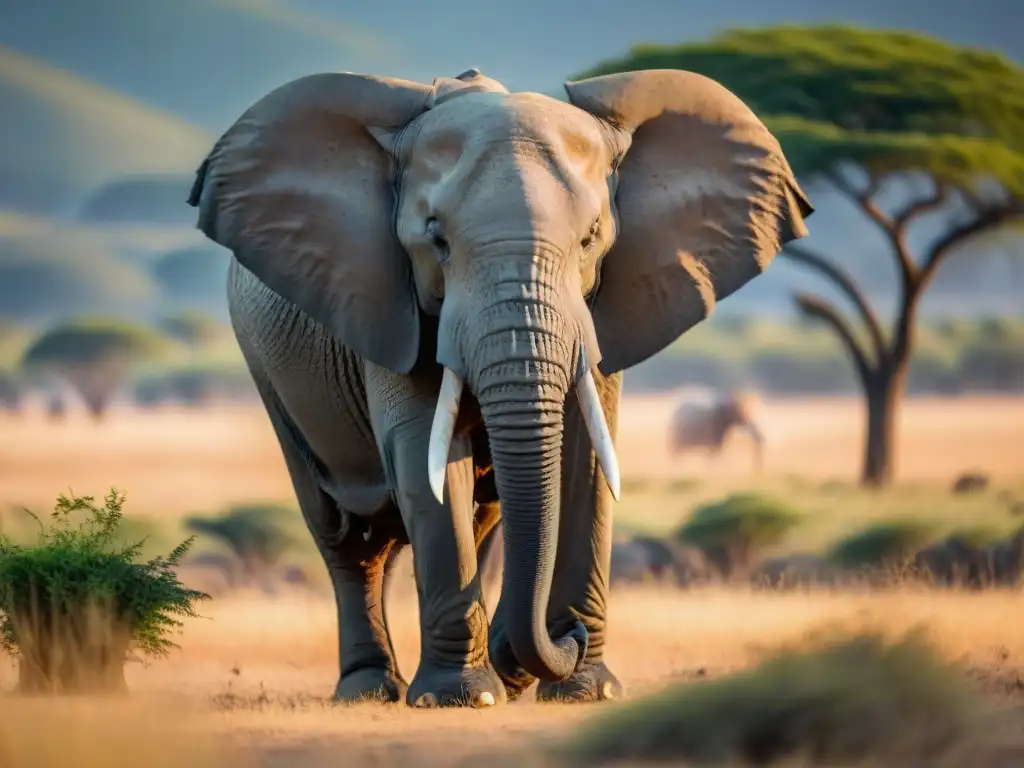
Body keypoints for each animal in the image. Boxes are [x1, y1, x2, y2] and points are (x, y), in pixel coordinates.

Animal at [186, 66, 815, 708]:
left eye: (590, 237)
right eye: (436, 239)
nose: (569, 637)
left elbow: (586, 459)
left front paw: (586, 691)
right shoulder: (387, 299)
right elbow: (425, 456)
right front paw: (463, 697)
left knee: (473, 520)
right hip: (266, 367)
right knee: (345, 534)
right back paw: (371, 690)